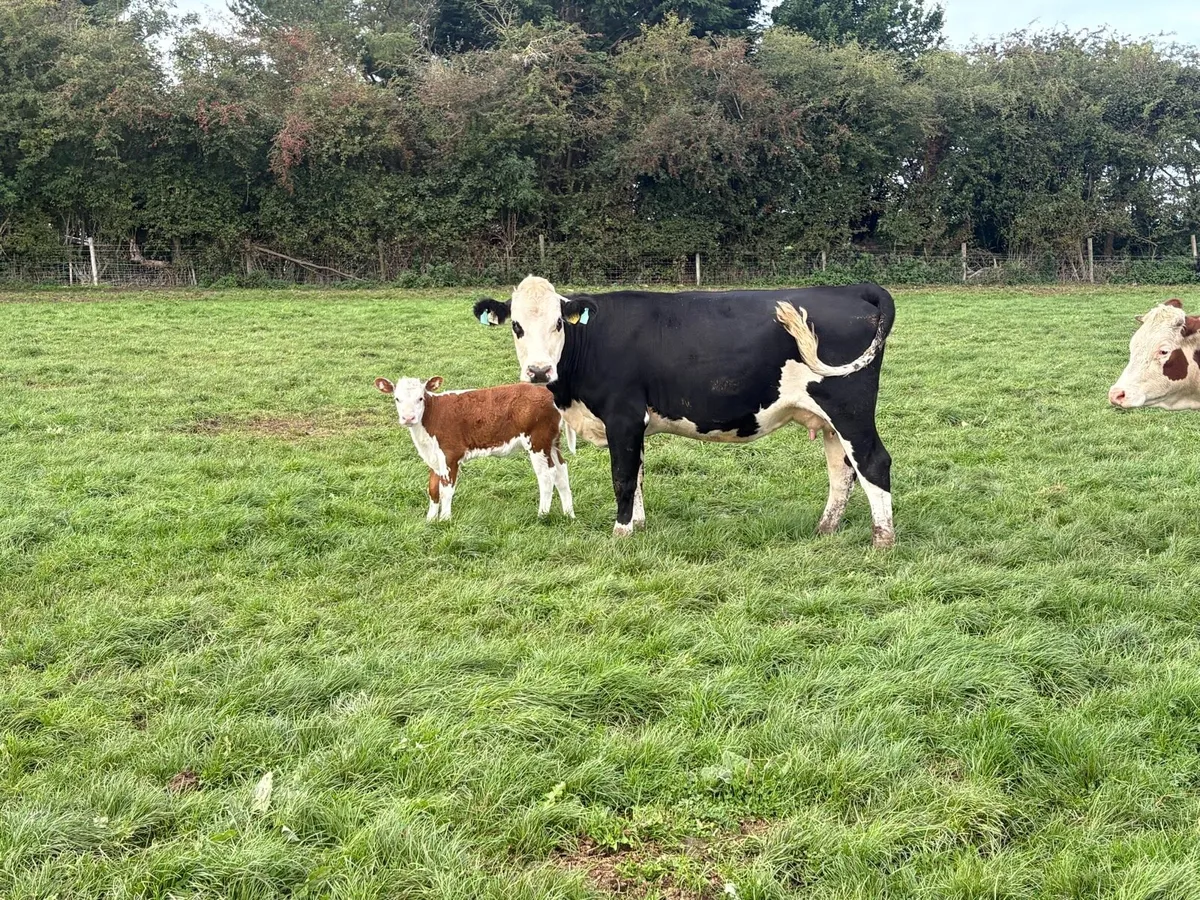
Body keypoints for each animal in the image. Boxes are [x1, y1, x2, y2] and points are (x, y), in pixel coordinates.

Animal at [375, 375, 575, 521]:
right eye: (397, 398)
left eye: (420, 398)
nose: (408, 418)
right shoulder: (434, 457)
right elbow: (433, 489)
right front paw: (430, 520)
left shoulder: (450, 454)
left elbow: (446, 490)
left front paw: (445, 520)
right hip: (552, 442)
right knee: (561, 471)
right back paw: (569, 514)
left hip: (538, 442)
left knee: (547, 475)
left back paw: (542, 515)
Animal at [472, 276, 896, 547]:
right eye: (516, 326)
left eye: (559, 323)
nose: (539, 371)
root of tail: (854, 289)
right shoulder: (635, 424)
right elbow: (638, 475)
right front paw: (639, 524)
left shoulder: (623, 416)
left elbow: (622, 477)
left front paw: (620, 533)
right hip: (829, 421)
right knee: (842, 470)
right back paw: (825, 529)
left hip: (849, 408)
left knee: (873, 462)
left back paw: (883, 540)